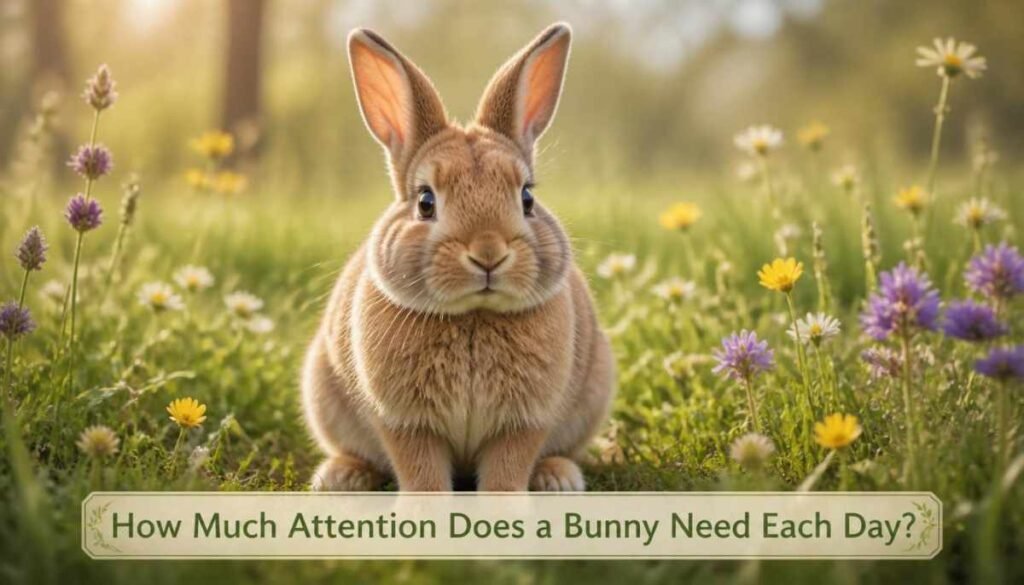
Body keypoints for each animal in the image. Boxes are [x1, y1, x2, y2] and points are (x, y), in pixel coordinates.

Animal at [302, 22, 615, 492]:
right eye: (425, 202)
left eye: (527, 198)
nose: (488, 253)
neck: (473, 315)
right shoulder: (406, 423)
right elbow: (421, 471)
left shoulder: (524, 423)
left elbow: (506, 471)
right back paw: (342, 477)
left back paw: (556, 478)